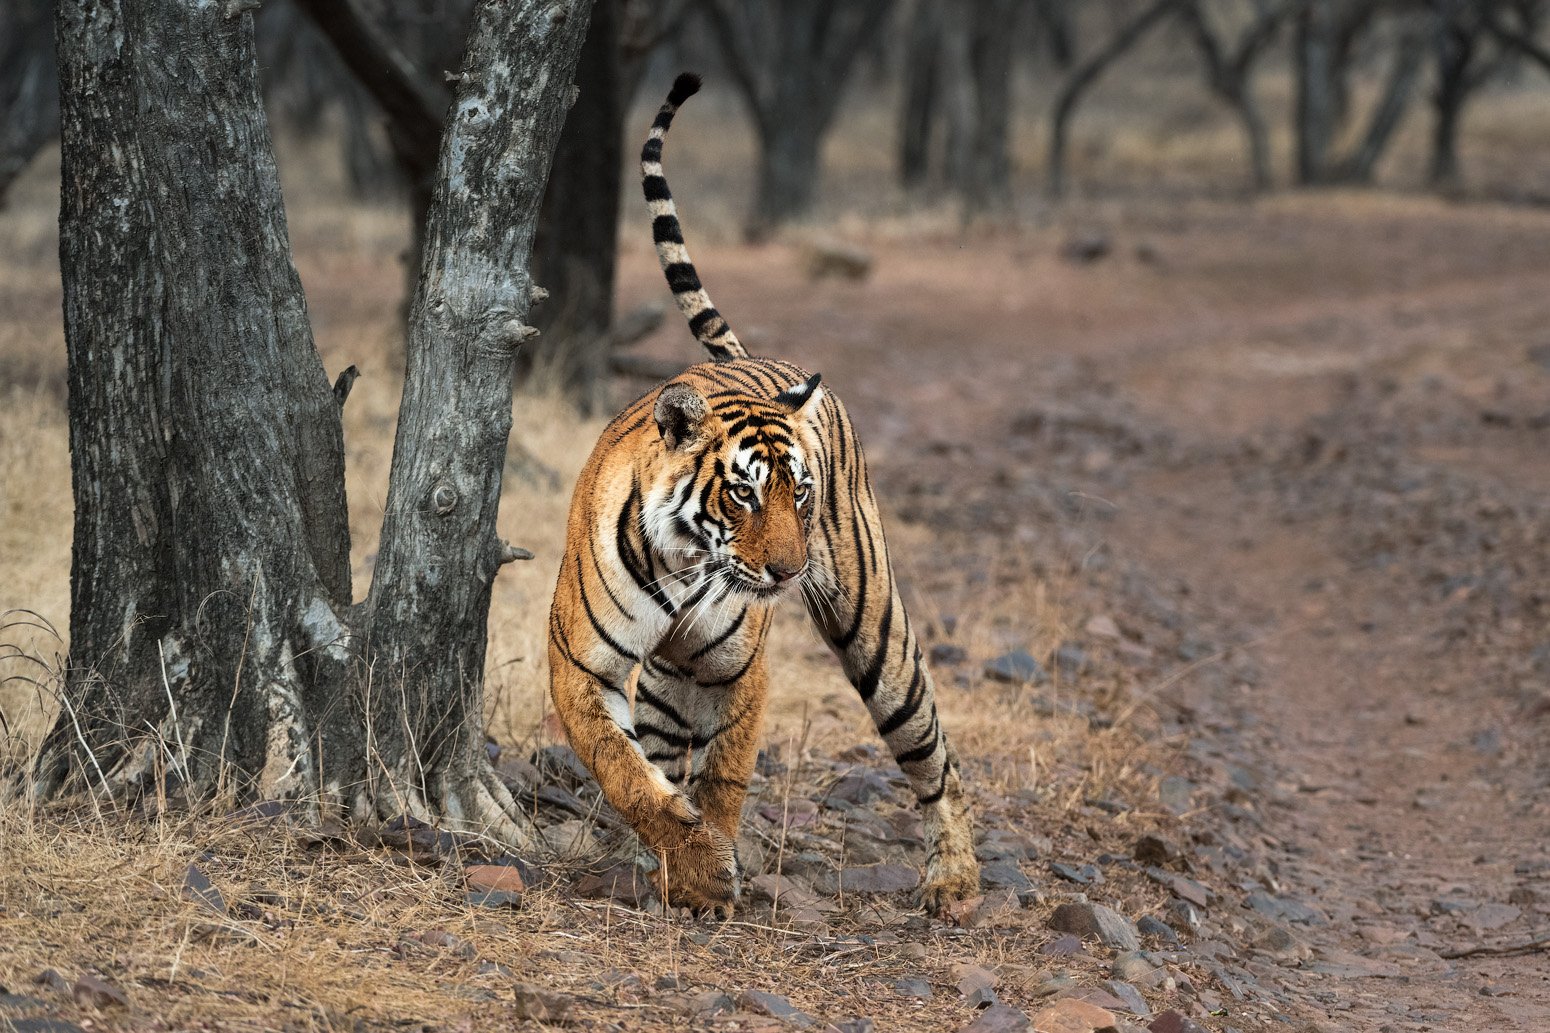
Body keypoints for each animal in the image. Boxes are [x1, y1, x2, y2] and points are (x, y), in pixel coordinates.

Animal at [551, 70, 973, 912]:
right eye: (743, 495)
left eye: (799, 492)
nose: (787, 569)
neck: (685, 565)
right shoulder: (581, 663)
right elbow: (626, 771)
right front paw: (689, 860)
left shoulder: (740, 670)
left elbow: (726, 774)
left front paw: (714, 867)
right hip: (670, 680)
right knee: (663, 745)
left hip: (875, 630)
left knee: (931, 748)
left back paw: (956, 876)